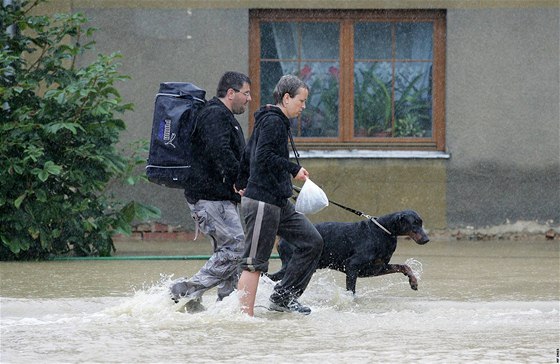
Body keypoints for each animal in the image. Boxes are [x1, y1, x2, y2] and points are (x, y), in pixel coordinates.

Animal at [266, 210, 428, 292]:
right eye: (414, 223)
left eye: (421, 222)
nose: (427, 239)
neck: (383, 231)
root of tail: (281, 238)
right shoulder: (352, 265)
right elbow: (351, 290)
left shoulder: (376, 268)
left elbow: (403, 266)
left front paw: (413, 282)